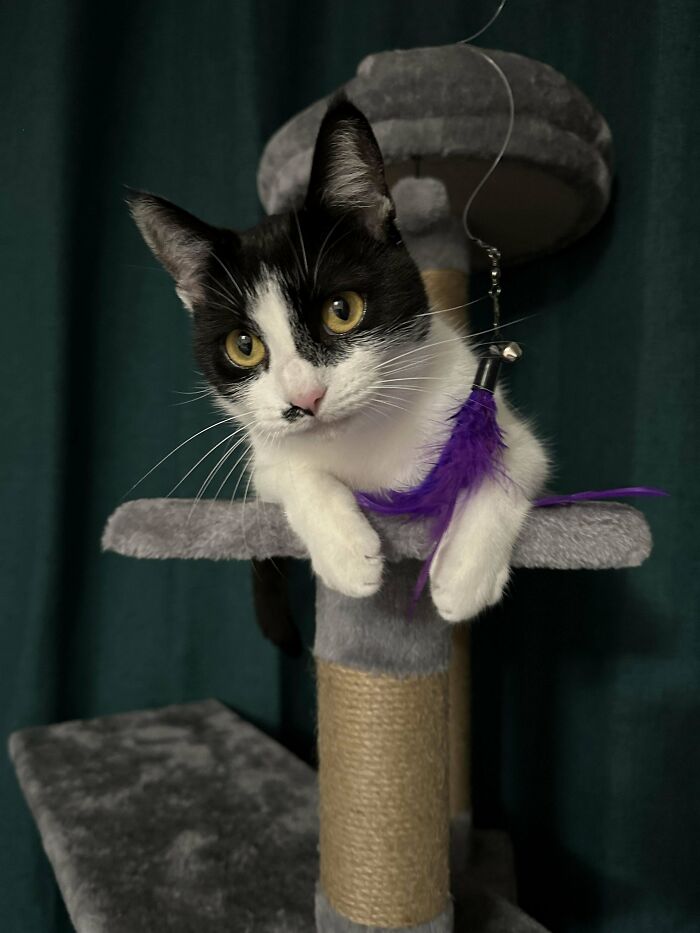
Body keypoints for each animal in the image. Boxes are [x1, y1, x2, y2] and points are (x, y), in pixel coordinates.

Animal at [129, 94, 548, 648]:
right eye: (243, 346)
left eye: (341, 310)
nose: (304, 398)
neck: (366, 439)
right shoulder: (264, 460)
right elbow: (287, 467)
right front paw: (347, 551)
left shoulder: (486, 408)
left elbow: (510, 459)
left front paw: (463, 574)